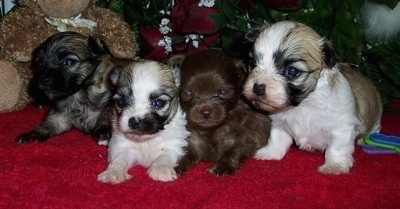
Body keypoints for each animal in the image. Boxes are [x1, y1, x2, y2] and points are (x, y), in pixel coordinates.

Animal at [242, 20, 382, 175]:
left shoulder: (342, 128)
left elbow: (336, 149)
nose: (257, 87)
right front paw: (269, 153)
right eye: (253, 63)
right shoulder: (280, 124)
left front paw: (334, 166)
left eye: (292, 71)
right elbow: (277, 139)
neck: (303, 105)